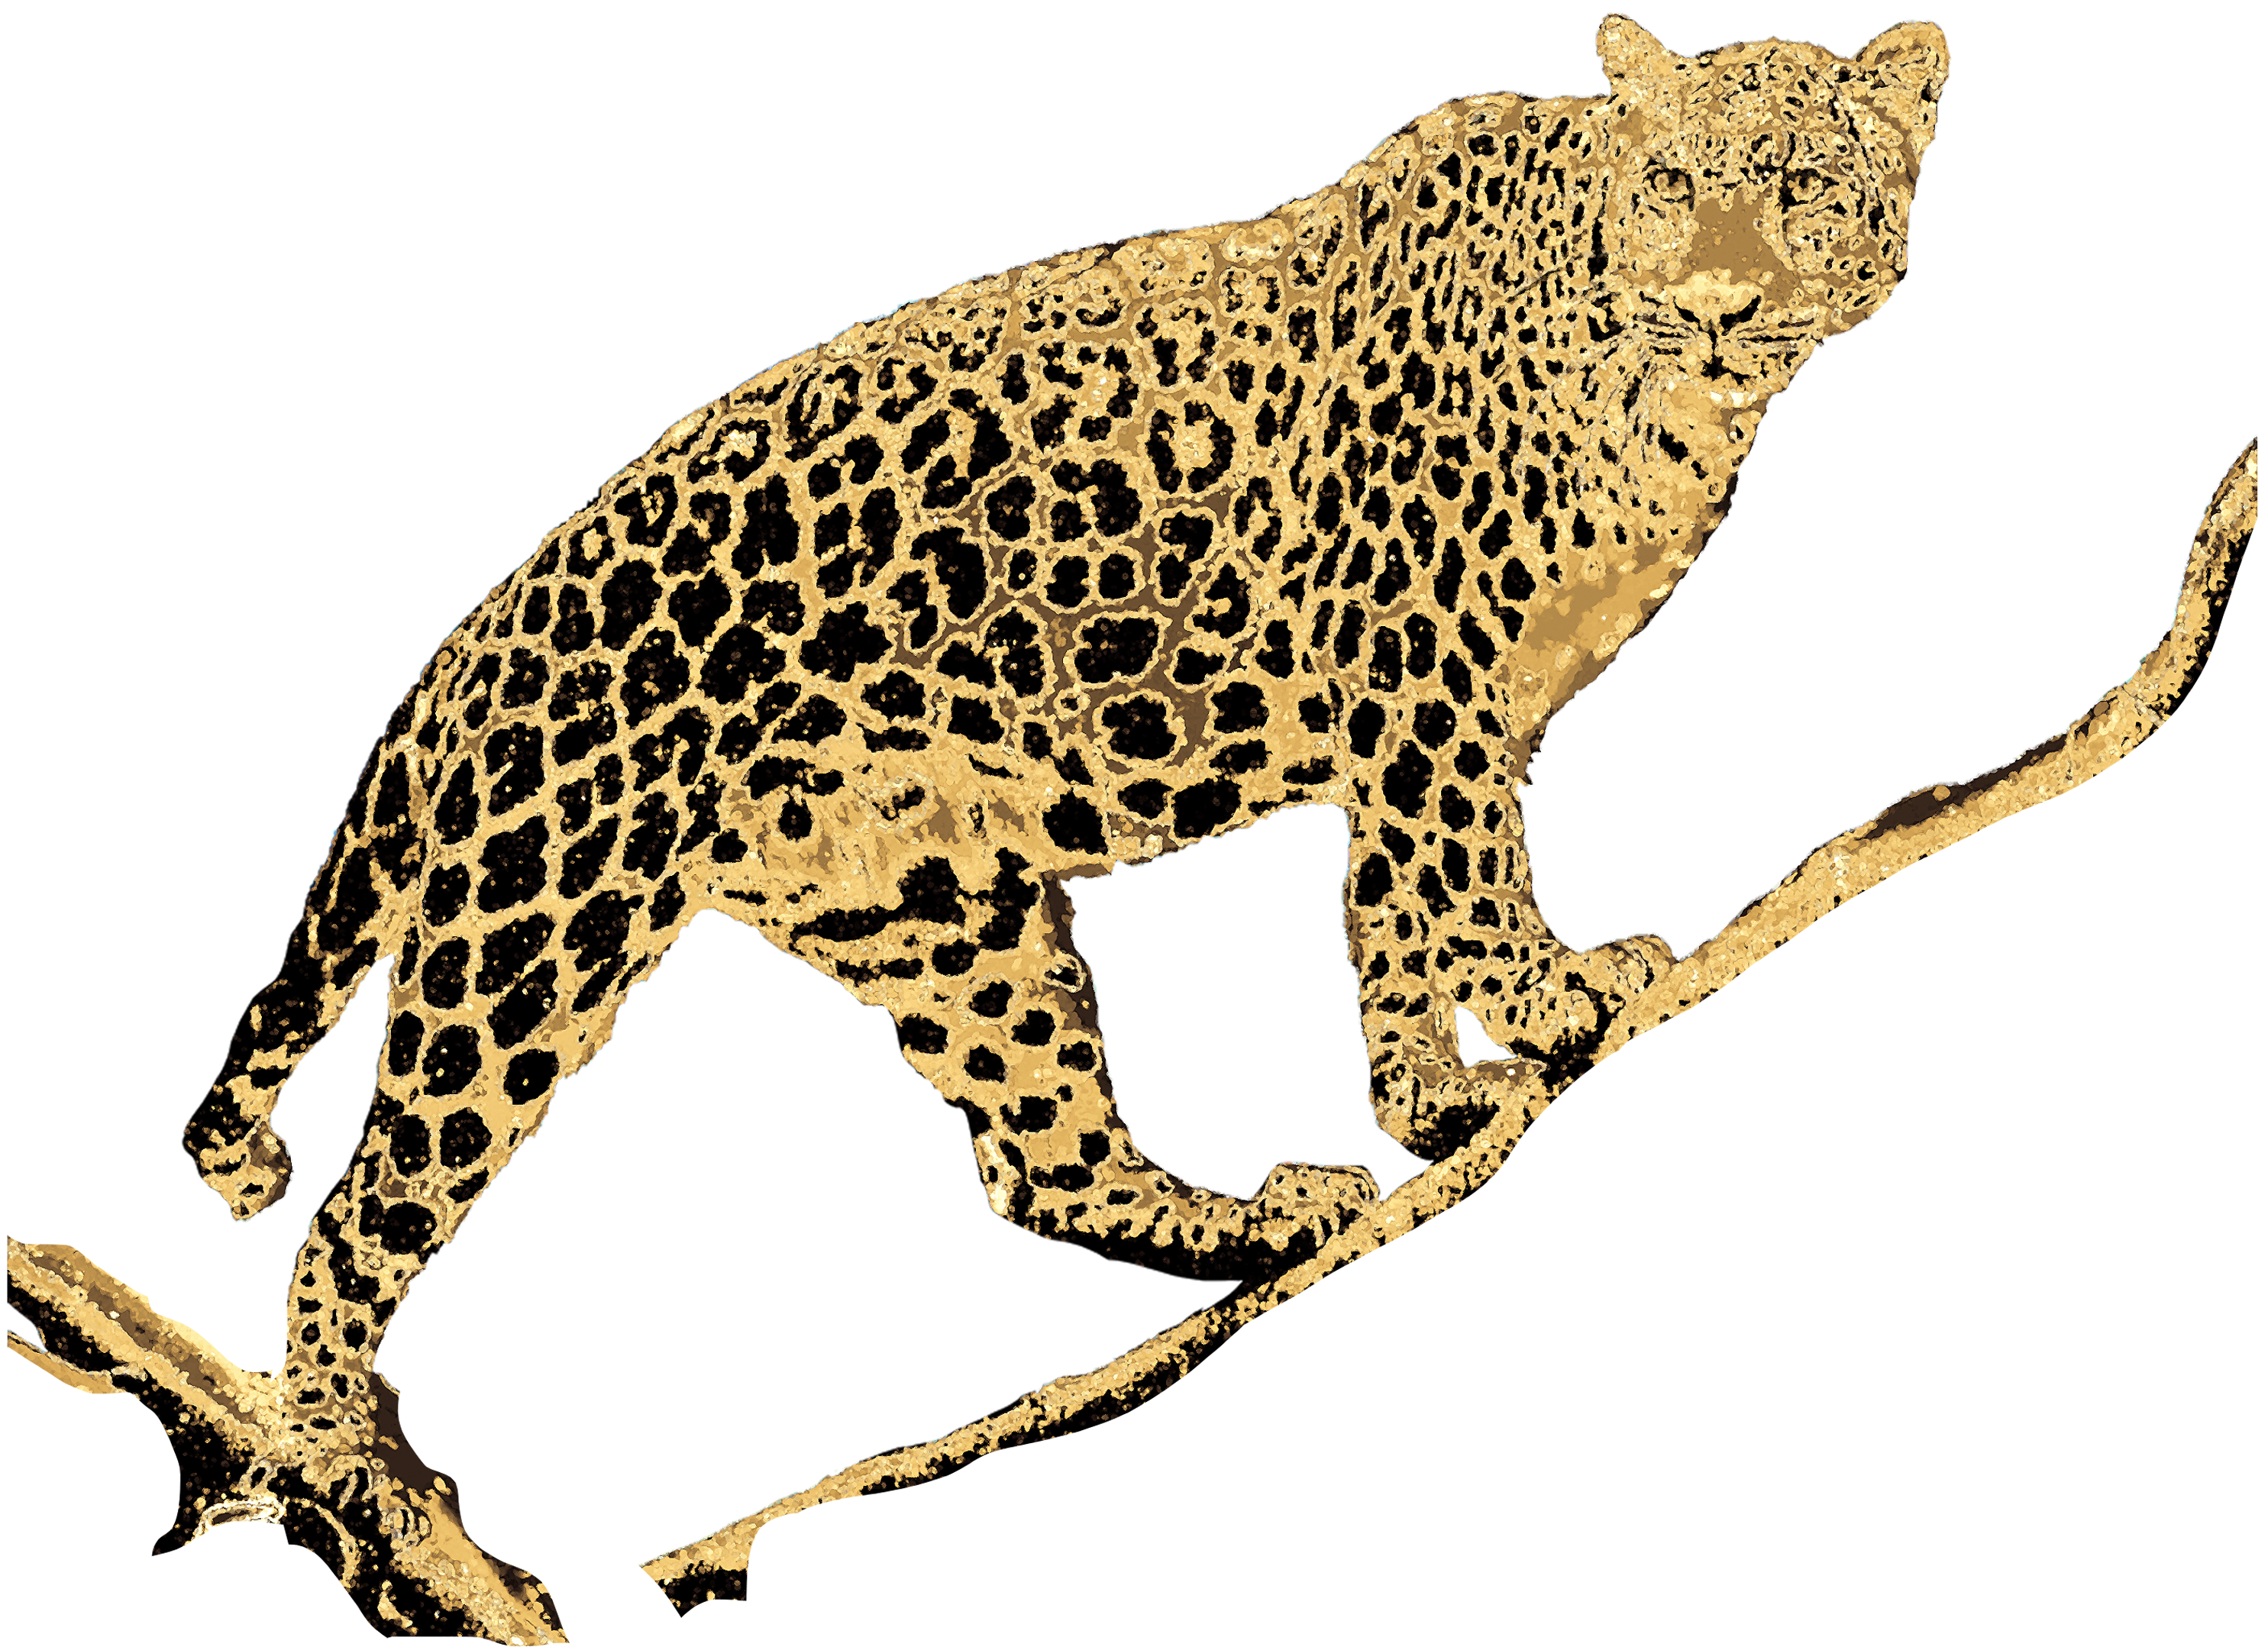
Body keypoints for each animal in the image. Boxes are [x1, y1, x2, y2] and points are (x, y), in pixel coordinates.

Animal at [8, 8, 2260, 1639]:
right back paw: (332, 1449)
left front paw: (1439, 1076)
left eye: (1799, 188)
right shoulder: (1419, 663)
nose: (1717, 300)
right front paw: (1527, 1016)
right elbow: (1450, 863)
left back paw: (1244, 1208)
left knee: (1034, 1156)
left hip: (948, 906)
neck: (1670, 400)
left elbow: (1395, 899)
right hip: (530, 923)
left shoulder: (1446, 698)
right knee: (357, 1220)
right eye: (1678, 185)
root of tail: (464, 651)